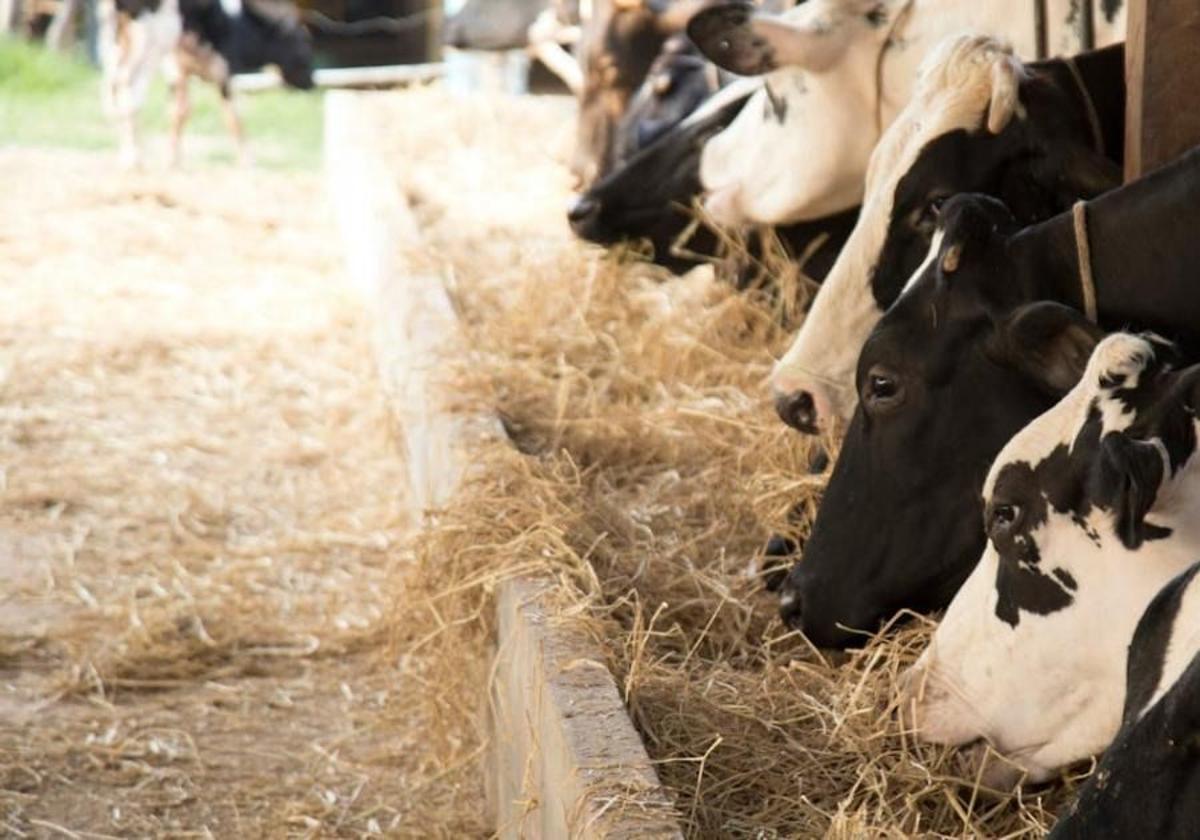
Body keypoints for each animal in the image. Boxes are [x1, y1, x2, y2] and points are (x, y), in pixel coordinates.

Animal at [99, 0, 314, 168]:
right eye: (303, 50)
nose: (310, 84)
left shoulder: (178, 70)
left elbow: (180, 112)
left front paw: (173, 161)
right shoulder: (223, 71)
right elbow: (233, 117)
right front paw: (248, 162)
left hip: (115, 36)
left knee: (112, 88)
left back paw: (127, 154)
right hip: (153, 38)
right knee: (129, 87)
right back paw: (134, 159)